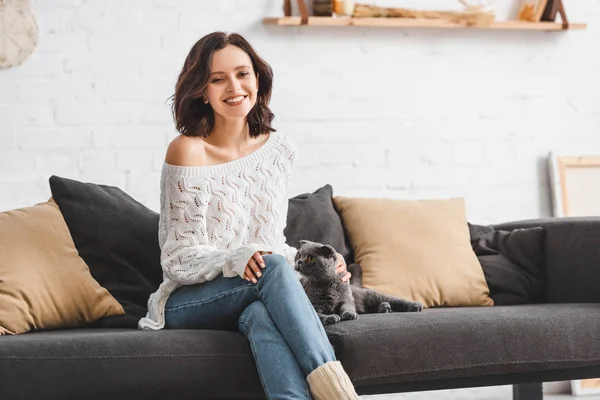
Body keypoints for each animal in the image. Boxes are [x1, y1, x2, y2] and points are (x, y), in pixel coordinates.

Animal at [294, 241, 422, 324]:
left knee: (394, 299)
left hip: (371, 296)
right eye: (298, 255)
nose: (299, 262)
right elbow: (317, 315)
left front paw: (349, 314)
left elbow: (347, 306)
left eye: (310, 258)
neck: (327, 283)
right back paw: (384, 307)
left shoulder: (346, 299)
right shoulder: (314, 304)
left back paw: (414, 305)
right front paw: (331, 317)